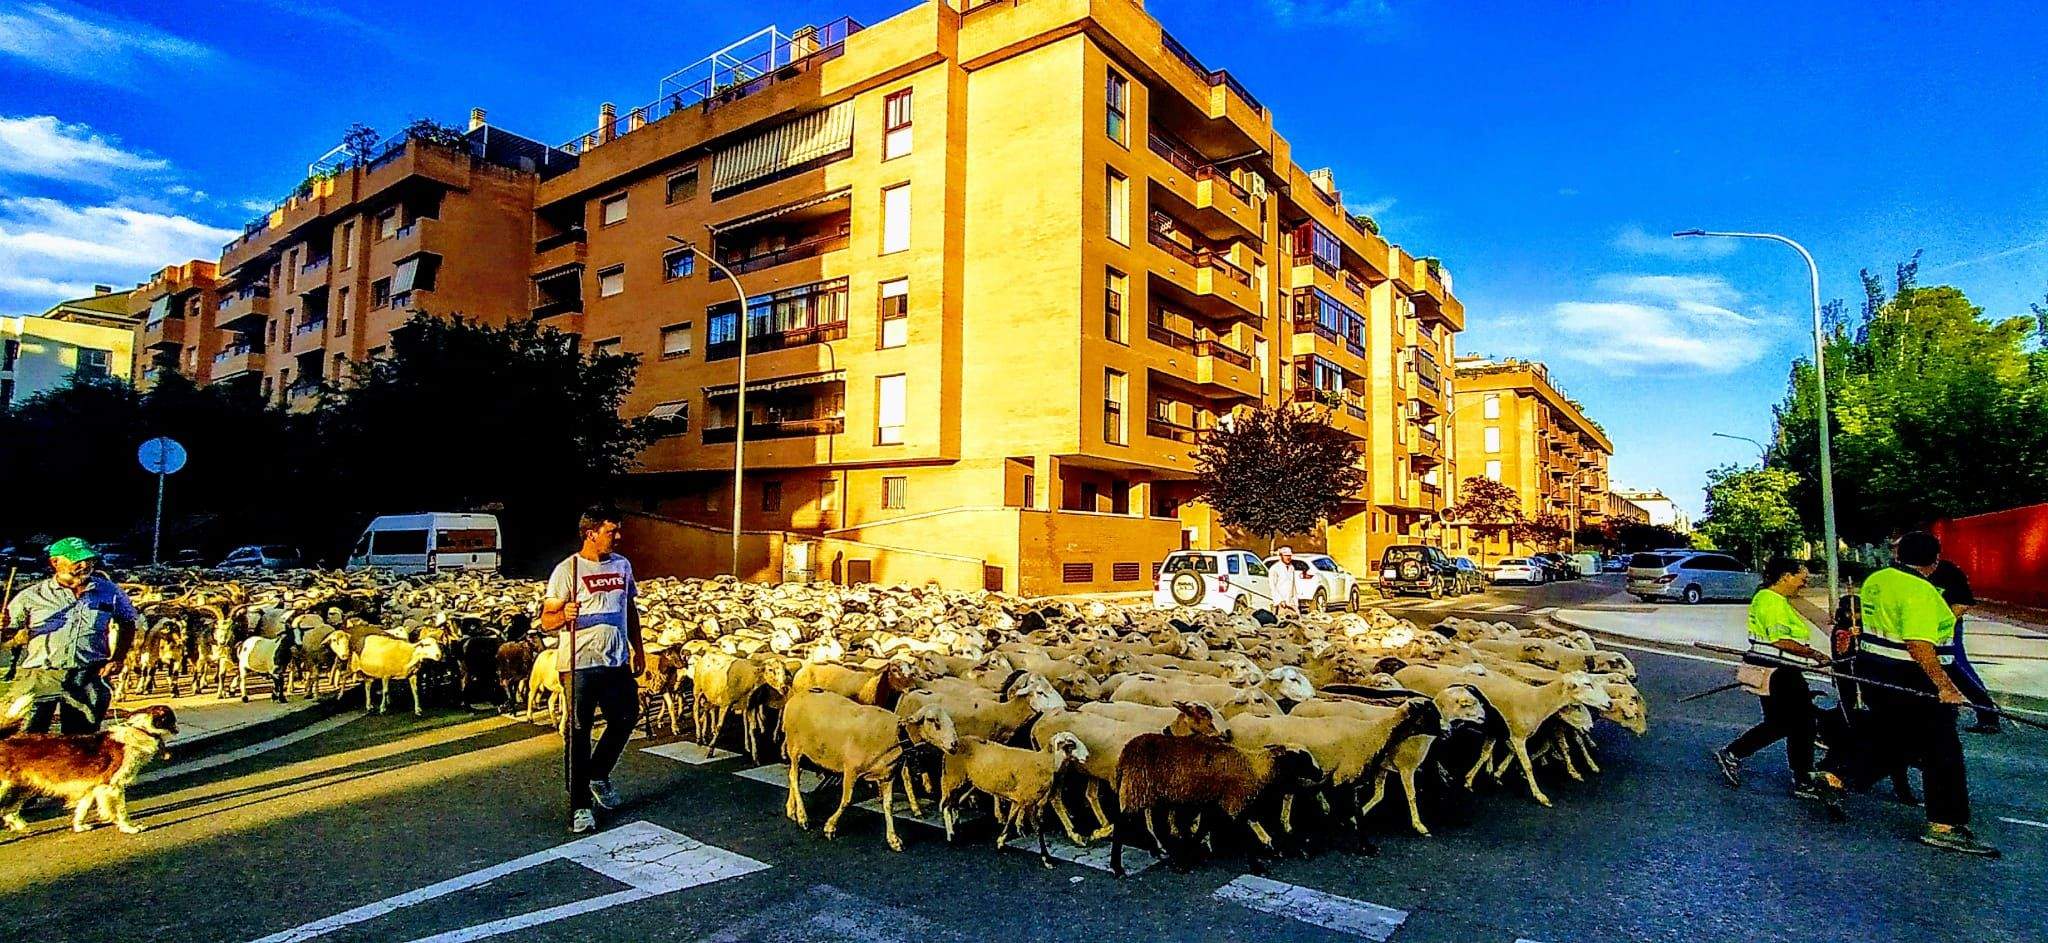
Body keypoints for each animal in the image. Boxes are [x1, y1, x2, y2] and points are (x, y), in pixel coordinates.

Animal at [780, 688, 957, 851]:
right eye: (932, 720)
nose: (954, 744)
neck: (897, 734)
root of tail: (797, 696)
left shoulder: (887, 775)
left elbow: (888, 805)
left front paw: (893, 839)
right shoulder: (851, 770)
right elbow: (846, 801)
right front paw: (830, 827)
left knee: (793, 775)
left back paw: (791, 810)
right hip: (794, 747)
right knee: (794, 778)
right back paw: (802, 818)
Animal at [936, 732, 1090, 867]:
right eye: (1071, 744)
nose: (1087, 756)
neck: (1044, 762)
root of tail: (953, 745)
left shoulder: (1019, 799)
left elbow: (1010, 819)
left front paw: (1000, 841)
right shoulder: (1029, 801)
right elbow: (1038, 829)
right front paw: (1046, 859)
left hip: (965, 781)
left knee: (953, 804)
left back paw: (955, 826)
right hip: (954, 778)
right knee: (946, 805)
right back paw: (951, 836)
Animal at [1109, 733, 1323, 877]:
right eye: (1303, 758)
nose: (1321, 773)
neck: (1256, 769)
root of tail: (1125, 753)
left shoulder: (1213, 804)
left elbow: (1203, 829)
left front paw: (1192, 855)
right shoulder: (1234, 802)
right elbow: (1244, 837)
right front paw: (1257, 866)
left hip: (1152, 794)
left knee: (1153, 825)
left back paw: (1166, 853)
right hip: (1136, 788)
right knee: (1121, 826)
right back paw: (1117, 867)